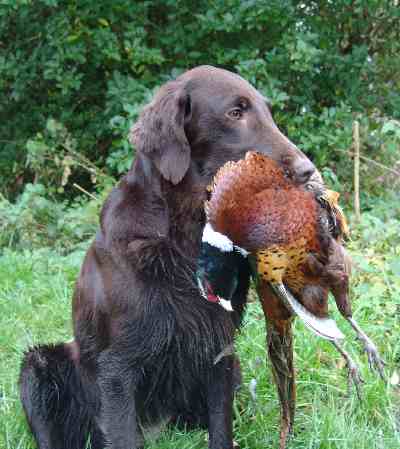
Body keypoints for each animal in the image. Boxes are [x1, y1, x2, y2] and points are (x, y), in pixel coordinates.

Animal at [20, 65, 318, 446]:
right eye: (236, 113)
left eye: (269, 113)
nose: (308, 171)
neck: (186, 237)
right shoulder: (116, 368)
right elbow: (121, 434)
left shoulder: (219, 349)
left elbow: (221, 427)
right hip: (37, 367)